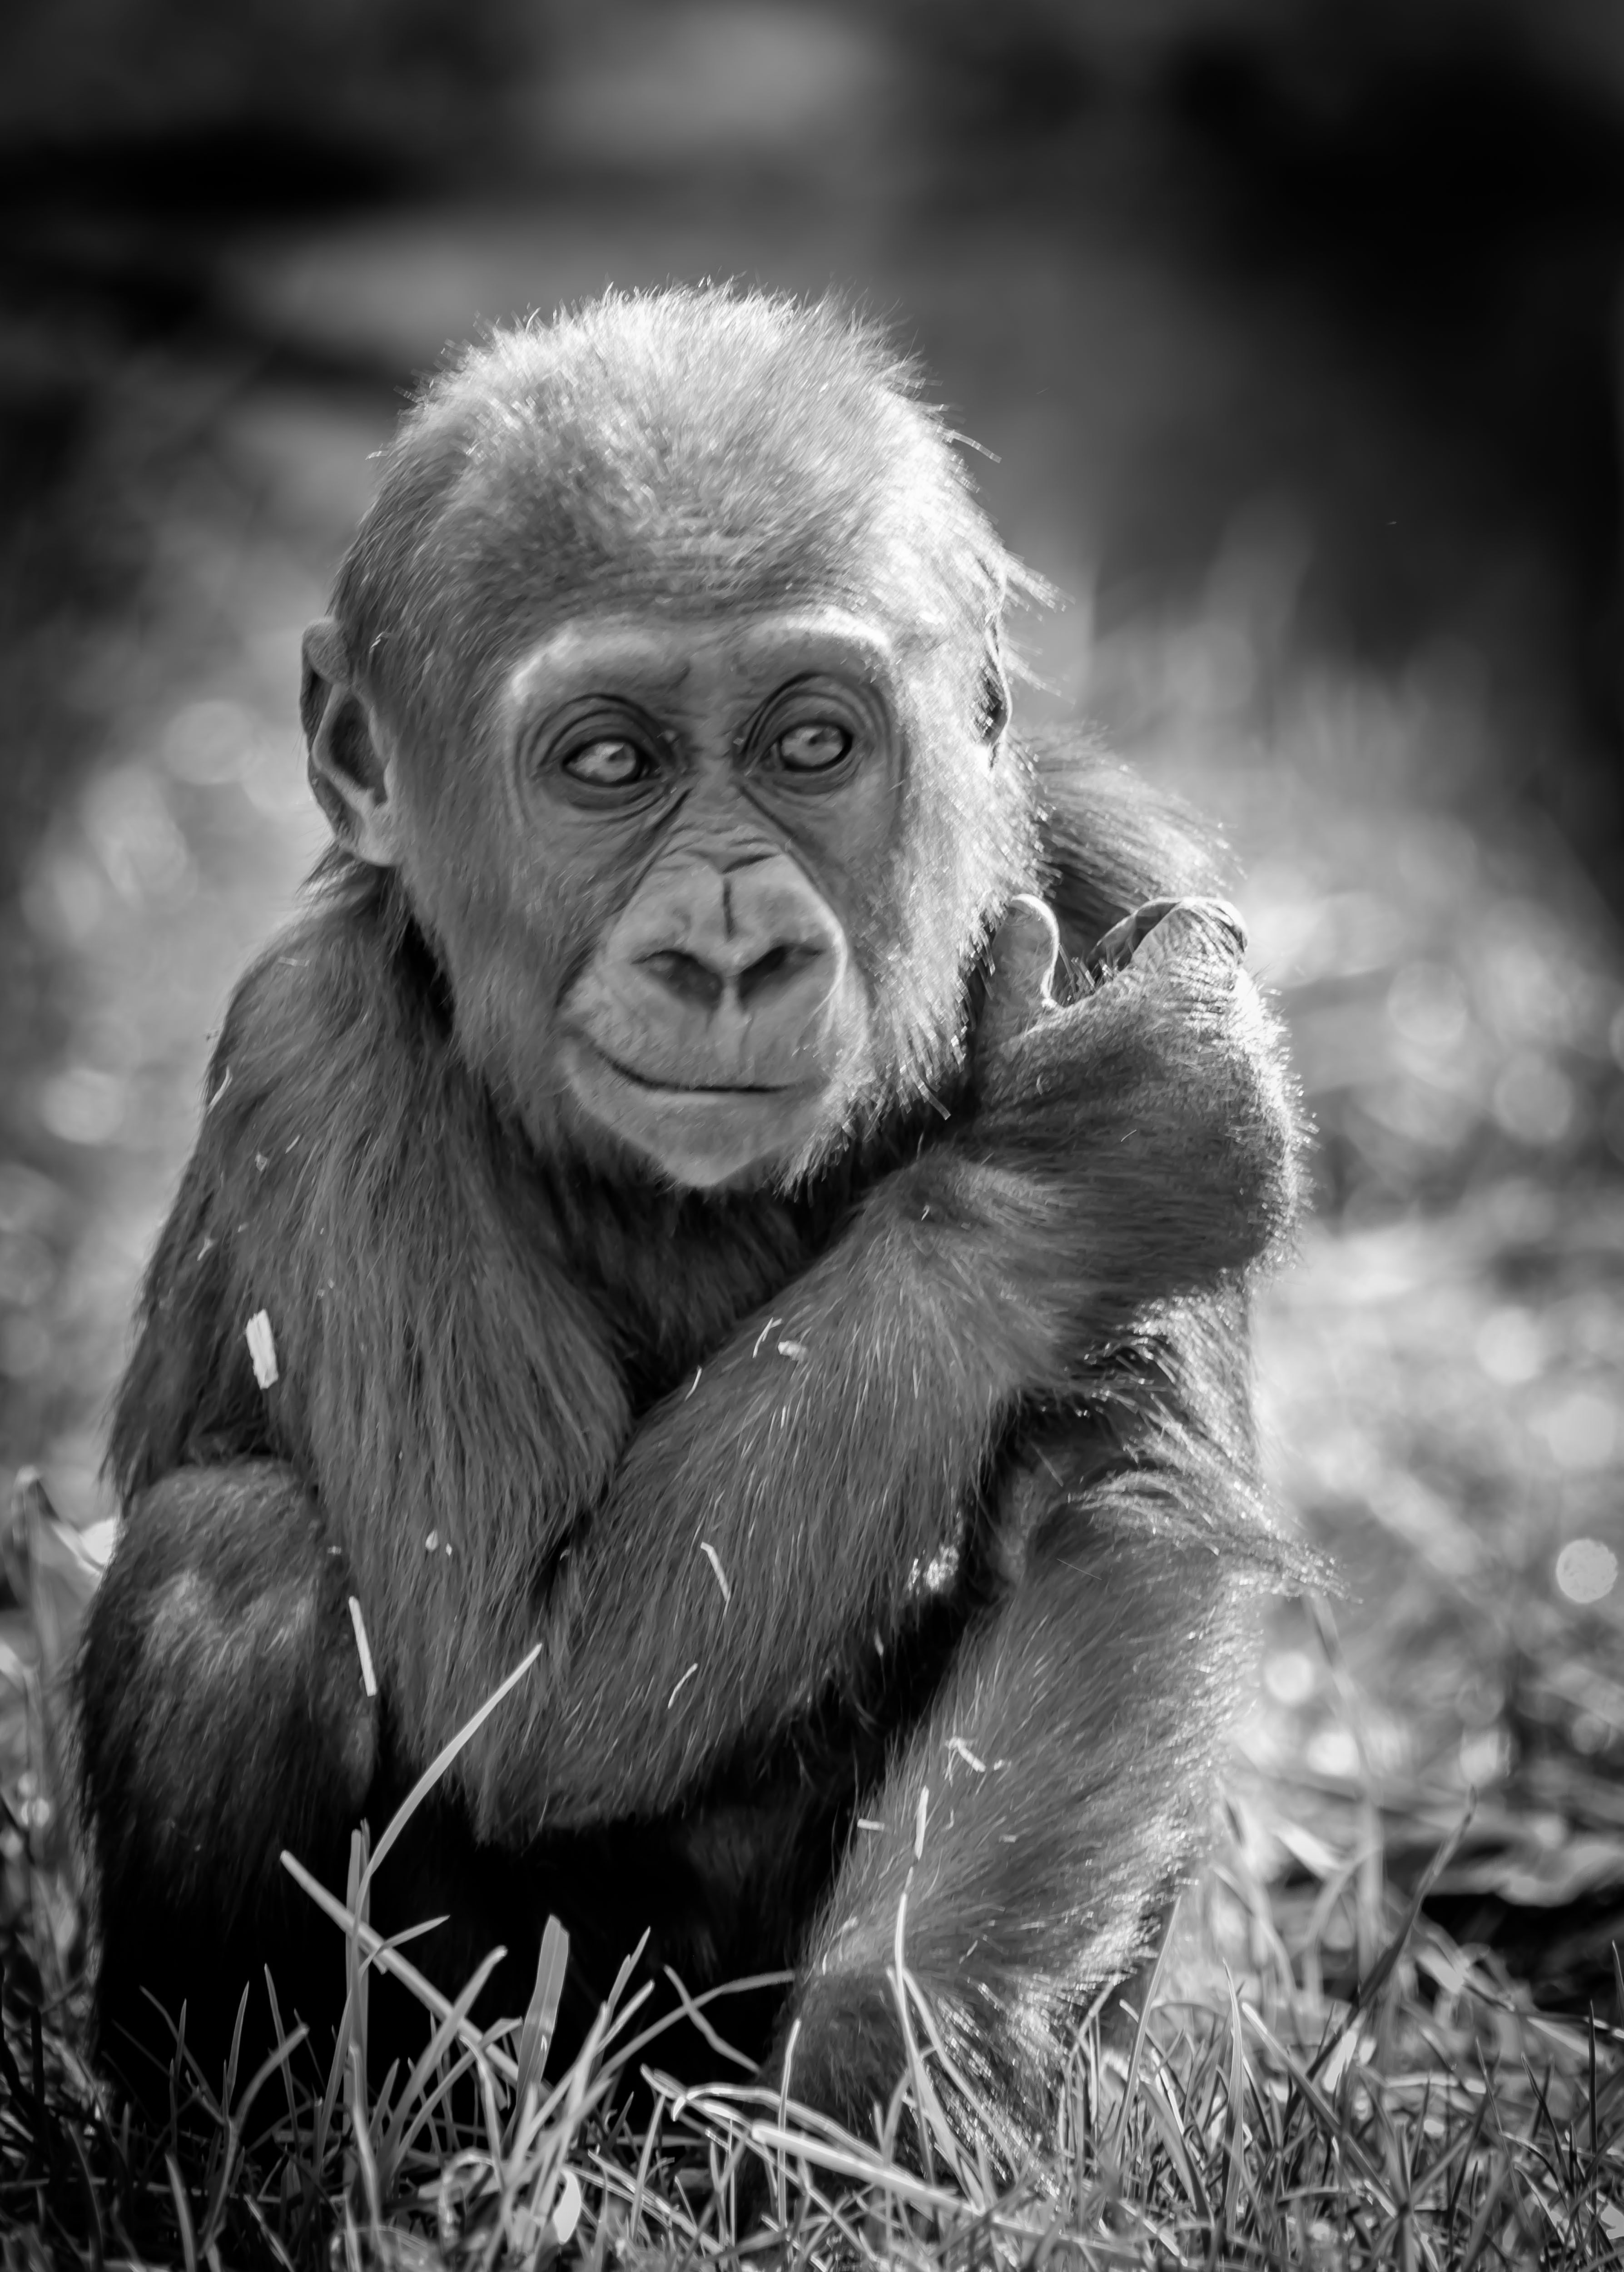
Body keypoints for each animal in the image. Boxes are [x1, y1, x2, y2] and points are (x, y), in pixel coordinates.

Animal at [77, 287, 1301, 2156]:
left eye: (812, 745)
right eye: (610, 763)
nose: (728, 945)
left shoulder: (1121, 871)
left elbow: (1110, 1523)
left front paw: (882, 2077)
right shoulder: (313, 1052)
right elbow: (530, 1668)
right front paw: (1088, 1158)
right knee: (238, 1569)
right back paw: (253, 2152)